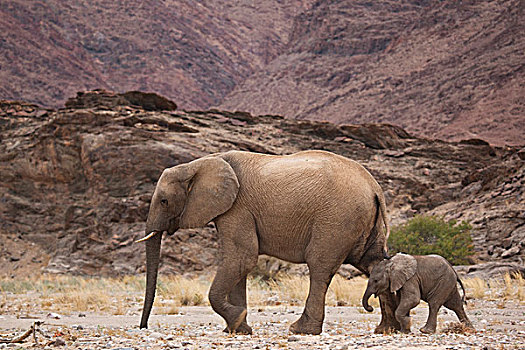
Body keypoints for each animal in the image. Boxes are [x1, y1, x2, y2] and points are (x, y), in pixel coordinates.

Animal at [137, 150, 400, 334]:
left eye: (163, 201)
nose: (143, 327)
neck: (199, 163)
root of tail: (375, 188)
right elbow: (240, 264)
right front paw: (238, 330)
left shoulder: (237, 209)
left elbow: (242, 258)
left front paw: (237, 320)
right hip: (362, 222)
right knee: (374, 264)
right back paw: (388, 329)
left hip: (336, 219)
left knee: (319, 268)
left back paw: (301, 330)